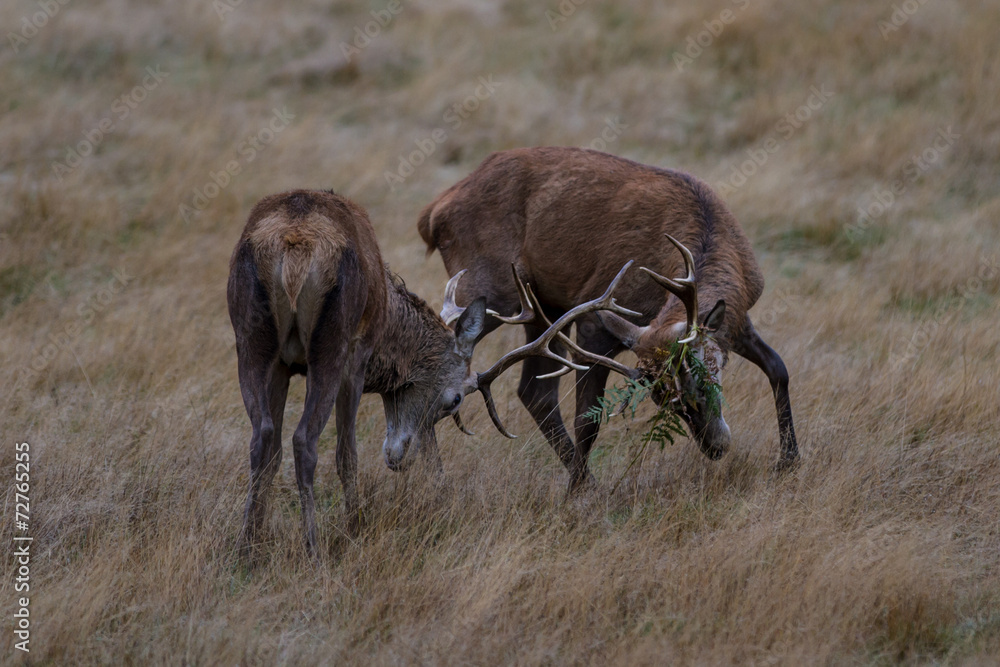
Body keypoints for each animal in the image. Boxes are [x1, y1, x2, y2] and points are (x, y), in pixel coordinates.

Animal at [227, 188, 636, 556]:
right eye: (455, 399)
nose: (400, 459)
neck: (388, 321)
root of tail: (294, 246)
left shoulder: (285, 367)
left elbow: (274, 450)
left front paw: (262, 535)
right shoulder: (356, 358)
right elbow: (347, 452)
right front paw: (355, 527)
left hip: (249, 339)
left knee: (262, 438)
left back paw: (248, 547)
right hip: (331, 343)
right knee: (305, 440)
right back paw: (314, 549)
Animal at [418, 146, 799, 491]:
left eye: (706, 375)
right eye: (663, 399)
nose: (716, 446)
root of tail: (433, 212)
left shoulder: (735, 322)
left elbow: (778, 368)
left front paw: (789, 461)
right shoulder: (595, 326)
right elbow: (587, 418)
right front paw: (574, 494)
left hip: (542, 305)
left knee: (535, 390)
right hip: (487, 288)